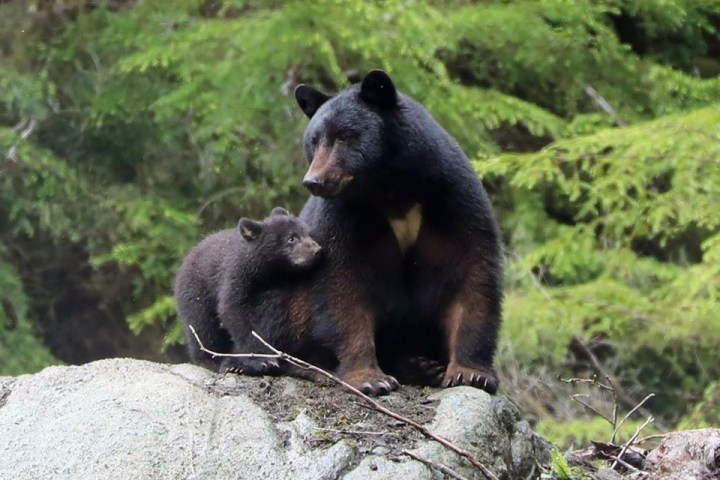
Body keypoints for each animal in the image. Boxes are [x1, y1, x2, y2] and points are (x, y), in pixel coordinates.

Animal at [174, 207, 324, 376]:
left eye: (308, 233)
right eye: (291, 238)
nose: (317, 250)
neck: (268, 272)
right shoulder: (236, 275)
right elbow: (234, 311)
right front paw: (262, 359)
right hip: (196, 292)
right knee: (202, 326)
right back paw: (214, 359)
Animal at [293, 70, 503, 396]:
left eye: (343, 137)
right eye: (314, 141)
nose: (313, 181)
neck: (391, 189)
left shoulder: (451, 197)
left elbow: (472, 270)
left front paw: (471, 372)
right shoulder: (343, 216)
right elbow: (342, 284)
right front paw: (369, 377)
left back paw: (423, 366)